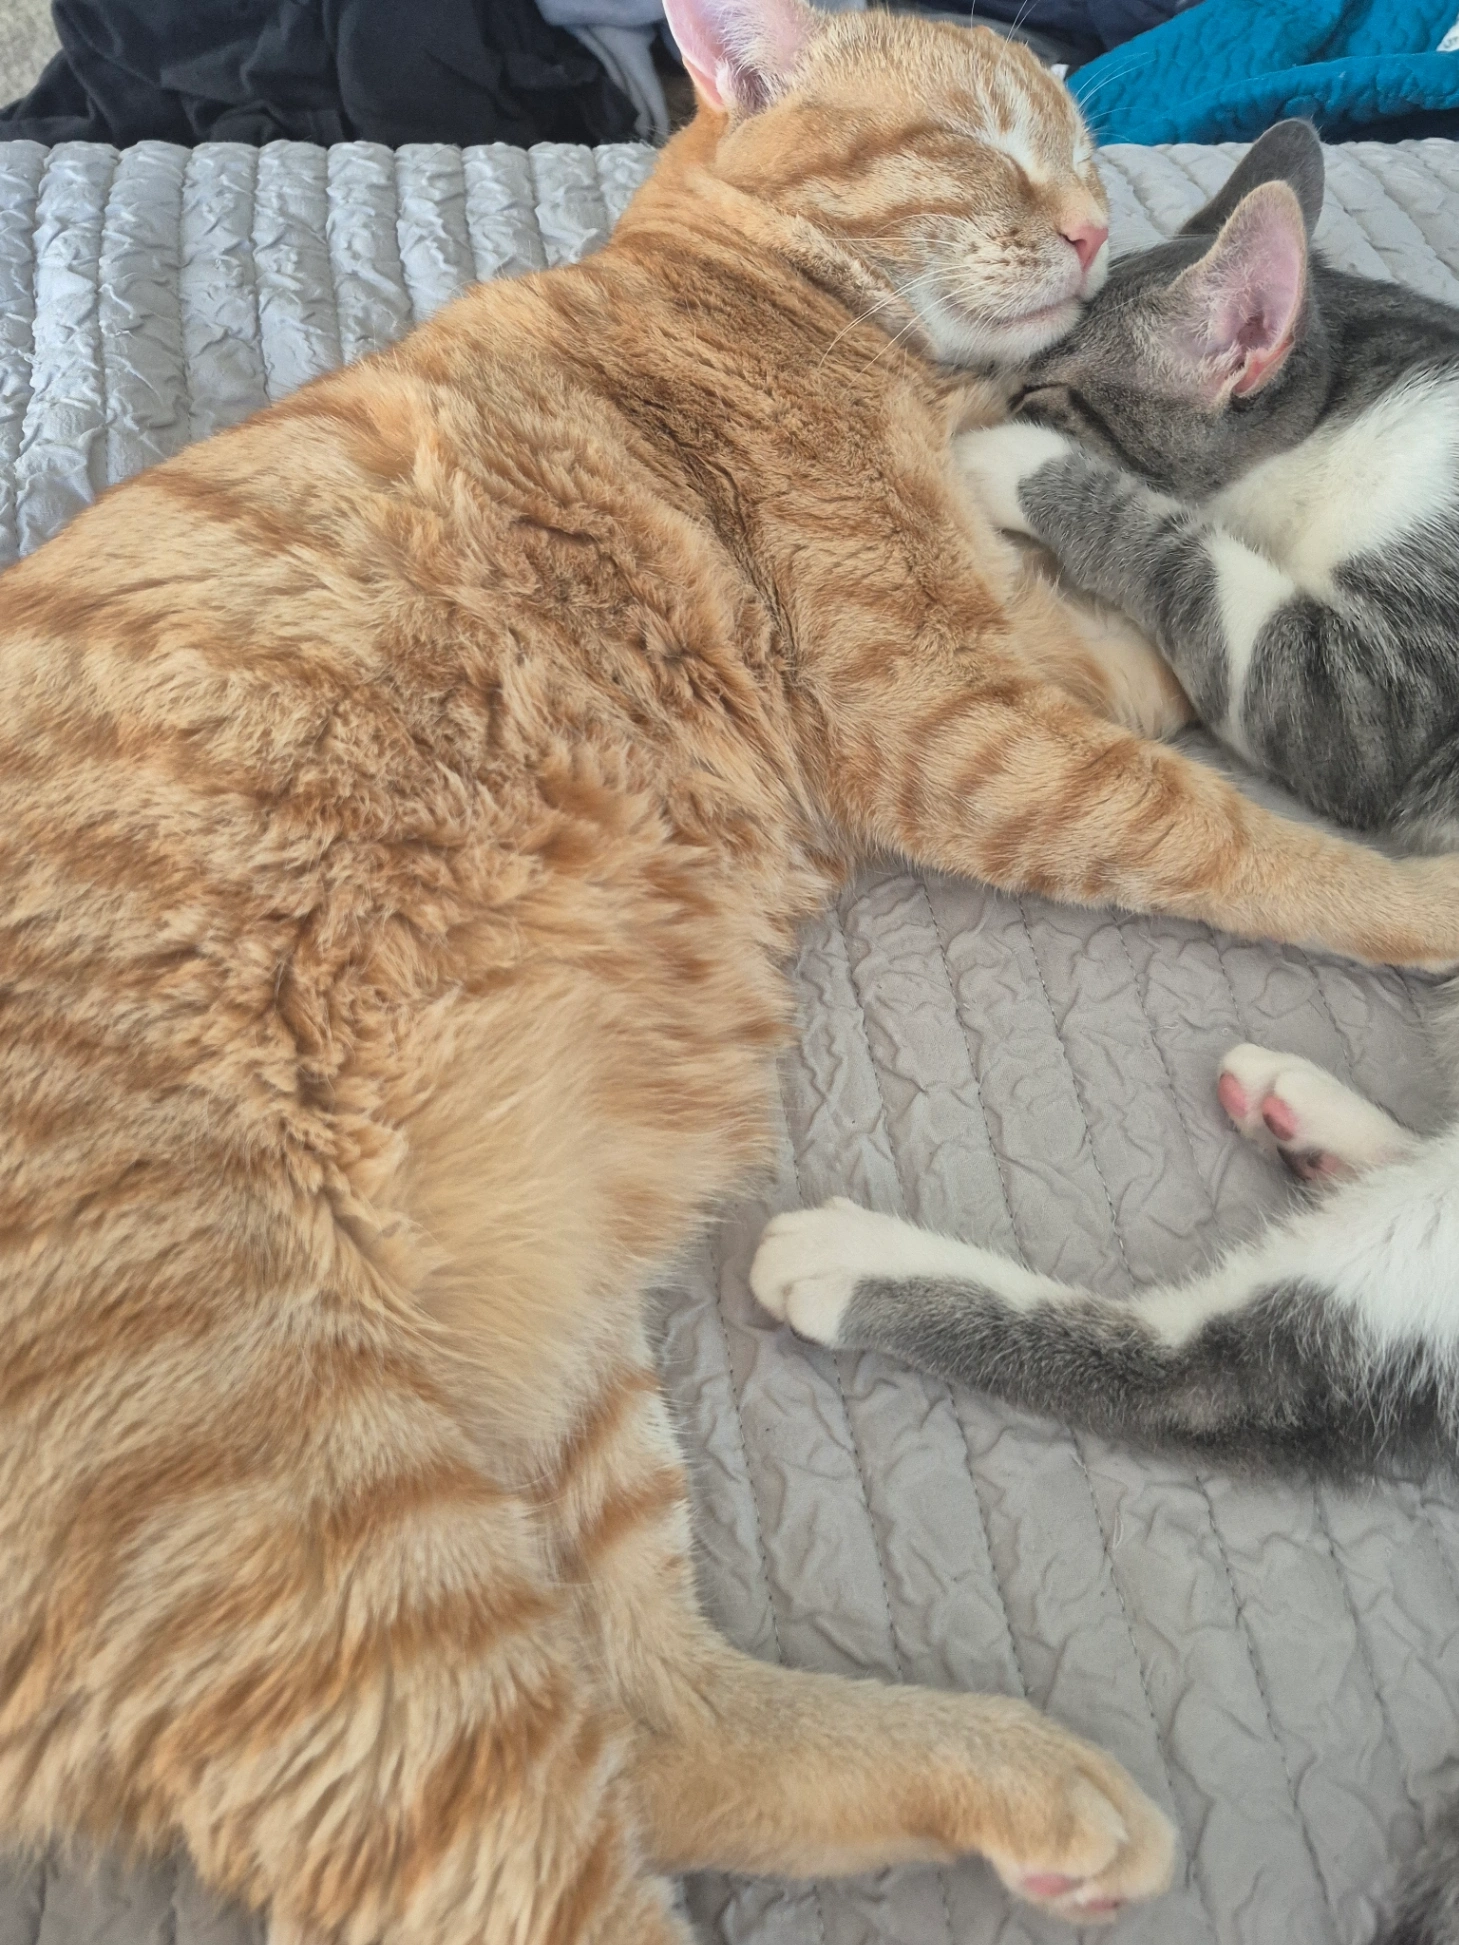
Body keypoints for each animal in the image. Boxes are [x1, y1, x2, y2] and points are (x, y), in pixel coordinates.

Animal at [954, 118, 1459, 850]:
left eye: (1034, 392)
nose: (982, 389)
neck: (1336, 423)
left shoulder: (1370, 698)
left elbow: (1174, 548)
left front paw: (1002, 453)